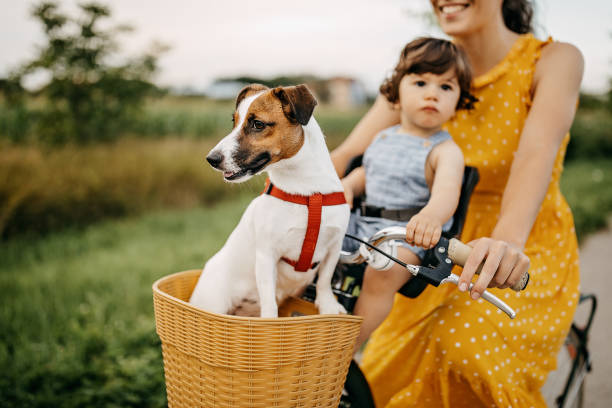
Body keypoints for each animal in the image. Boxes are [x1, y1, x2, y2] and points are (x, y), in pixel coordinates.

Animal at [189, 83, 350, 318]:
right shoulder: (266, 256)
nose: (211, 159)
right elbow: (269, 300)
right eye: (233, 122)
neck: (305, 191)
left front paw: (328, 305)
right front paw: (270, 321)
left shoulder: (335, 246)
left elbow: (325, 280)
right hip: (213, 304)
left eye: (257, 124)